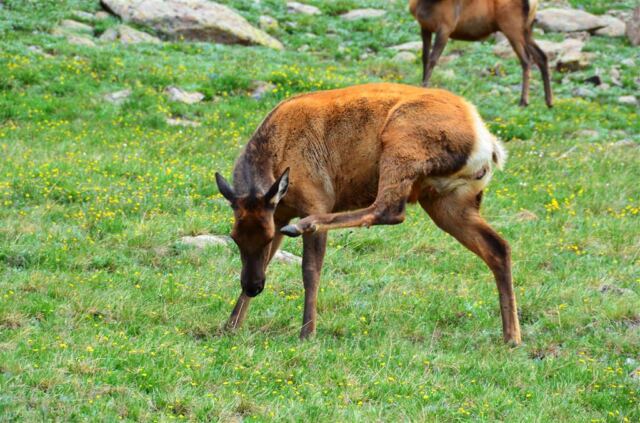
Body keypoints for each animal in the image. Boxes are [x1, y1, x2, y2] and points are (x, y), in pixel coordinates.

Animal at [215, 83, 522, 345]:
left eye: (266, 238)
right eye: (234, 237)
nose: (253, 286)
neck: (276, 155)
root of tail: (488, 144)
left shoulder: (316, 199)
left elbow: (310, 270)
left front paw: (307, 332)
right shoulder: (278, 213)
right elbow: (269, 263)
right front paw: (230, 325)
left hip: (402, 144)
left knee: (390, 209)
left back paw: (305, 226)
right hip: (449, 199)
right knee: (498, 246)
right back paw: (512, 337)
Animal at [409, 0, 553, 108]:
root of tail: (533, 3)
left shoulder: (446, 26)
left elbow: (433, 59)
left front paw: (424, 90)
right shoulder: (425, 26)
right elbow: (425, 58)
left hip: (513, 27)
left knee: (526, 60)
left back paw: (524, 101)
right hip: (526, 29)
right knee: (541, 56)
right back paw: (549, 101)